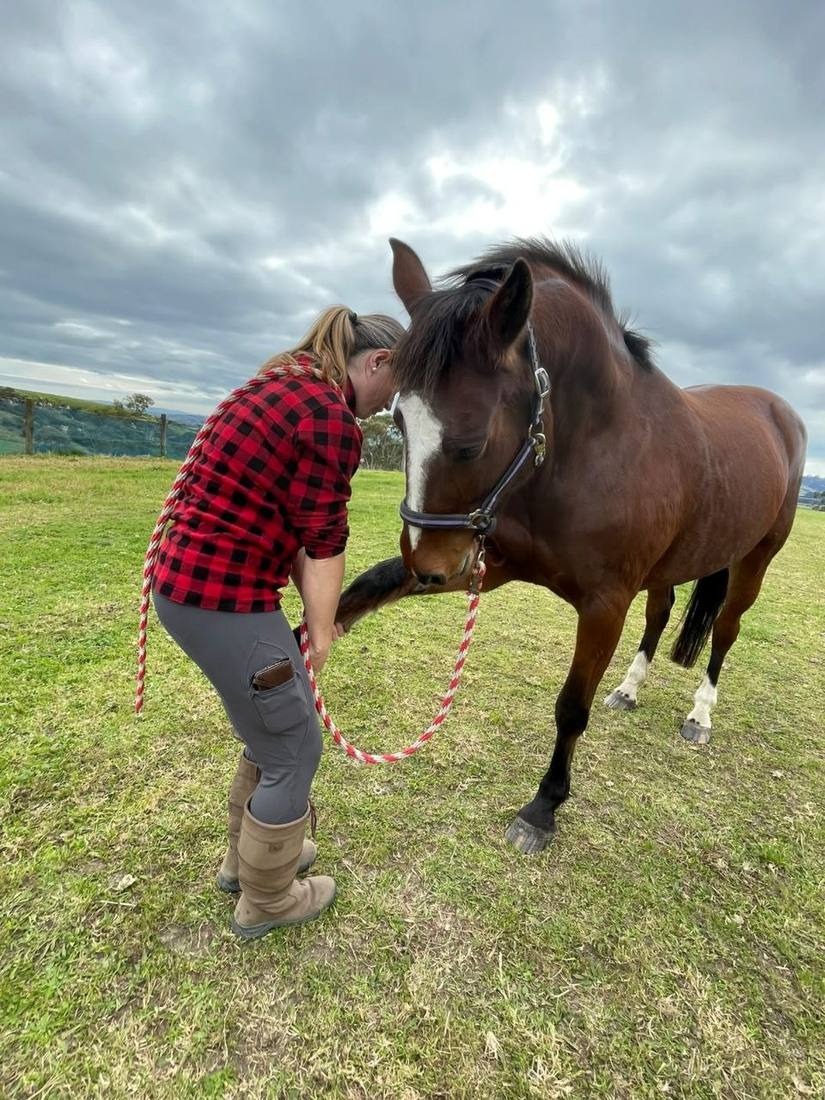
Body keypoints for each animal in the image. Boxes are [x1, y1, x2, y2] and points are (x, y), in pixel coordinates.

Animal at [334, 237, 807, 854]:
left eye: (471, 442)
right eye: (398, 419)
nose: (429, 568)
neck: (593, 445)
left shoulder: (603, 605)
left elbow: (571, 708)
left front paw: (544, 806)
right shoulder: (488, 562)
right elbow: (369, 584)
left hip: (755, 558)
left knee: (725, 630)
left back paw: (701, 715)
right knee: (660, 613)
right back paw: (629, 689)